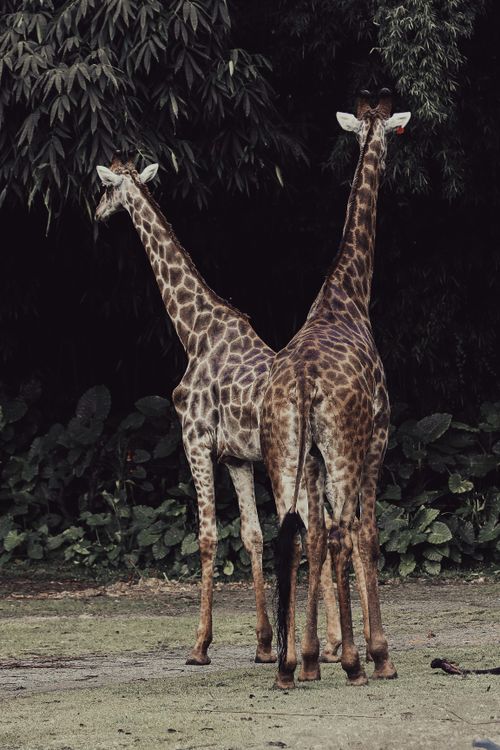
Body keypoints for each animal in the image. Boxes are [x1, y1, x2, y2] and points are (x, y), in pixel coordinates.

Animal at [94, 156, 342, 666]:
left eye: (104, 188)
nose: (96, 213)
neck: (194, 333)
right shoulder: (236, 458)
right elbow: (252, 535)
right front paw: (263, 644)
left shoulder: (196, 441)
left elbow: (208, 537)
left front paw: (200, 645)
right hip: (319, 459)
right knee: (327, 526)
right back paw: (331, 643)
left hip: (289, 461)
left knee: (311, 528)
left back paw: (321, 645)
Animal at [261, 90, 411, 689]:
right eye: (394, 134)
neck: (348, 292)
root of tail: (303, 383)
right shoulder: (377, 439)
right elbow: (367, 534)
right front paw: (376, 653)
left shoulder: (314, 458)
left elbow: (317, 538)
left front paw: (307, 659)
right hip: (345, 448)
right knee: (345, 531)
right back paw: (354, 663)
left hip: (285, 451)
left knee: (297, 532)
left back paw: (287, 666)